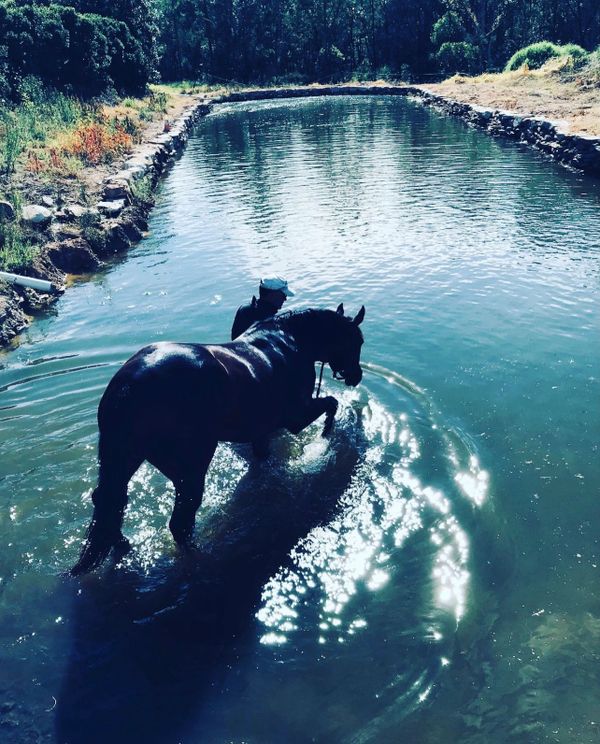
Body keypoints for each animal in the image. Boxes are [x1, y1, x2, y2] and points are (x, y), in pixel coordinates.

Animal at [71, 303, 366, 576]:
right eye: (357, 341)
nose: (356, 376)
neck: (289, 342)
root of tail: (129, 387)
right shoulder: (296, 417)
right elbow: (332, 403)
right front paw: (325, 436)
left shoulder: (261, 431)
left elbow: (264, 459)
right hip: (190, 468)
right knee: (180, 522)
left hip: (126, 459)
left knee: (109, 502)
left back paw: (122, 545)